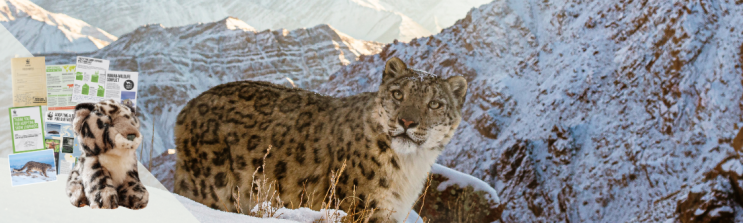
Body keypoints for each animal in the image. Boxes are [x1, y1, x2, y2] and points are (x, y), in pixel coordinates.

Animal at [172, 56, 468, 222]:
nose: (407, 122)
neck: (408, 168)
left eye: (434, 104)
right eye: (398, 94)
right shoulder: (362, 208)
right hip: (212, 188)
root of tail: (188, 107)